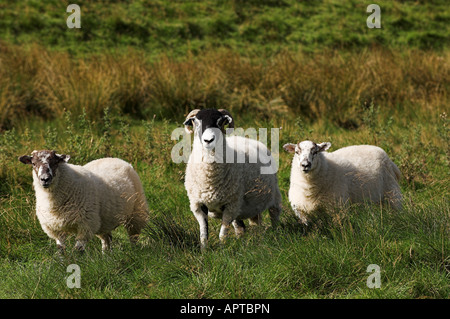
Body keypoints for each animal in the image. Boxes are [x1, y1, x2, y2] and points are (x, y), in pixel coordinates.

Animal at [18, 151, 149, 254]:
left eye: (55, 162)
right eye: (33, 164)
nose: (45, 179)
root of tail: (112, 158)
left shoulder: (85, 224)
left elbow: (78, 251)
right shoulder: (56, 229)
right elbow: (61, 250)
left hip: (136, 211)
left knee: (133, 236)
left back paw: (134, 252)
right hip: (104, 220)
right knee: (106, 240)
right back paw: (106, 258)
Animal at [183, 109, 282, 249]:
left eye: (220, 121)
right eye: (196, 121)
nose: (208, 140)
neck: (209, 178)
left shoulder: (230, 206)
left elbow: (222, 234)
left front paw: (222, 249)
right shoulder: (199, 205)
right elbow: (203, 234)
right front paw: (204, 251)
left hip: (273, 195)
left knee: (275, 213)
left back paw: (276, 233)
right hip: (243, 207)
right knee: (243, 226)